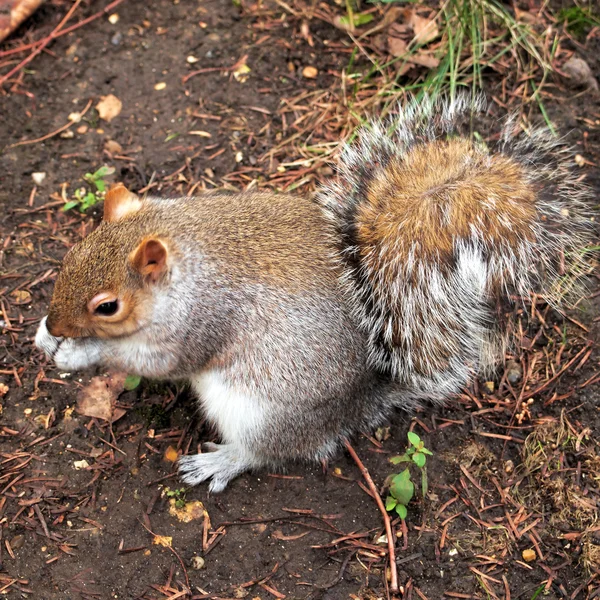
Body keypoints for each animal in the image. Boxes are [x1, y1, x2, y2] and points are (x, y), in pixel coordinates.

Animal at [35, 96, 592, 492]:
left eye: (107, 307)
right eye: (68, 259)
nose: (56, 326)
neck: (185, 252)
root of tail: (354, 404)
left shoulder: (202, 320)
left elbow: (157, 361)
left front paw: (81, 352)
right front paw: (45, 337)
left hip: (259, 410)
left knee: (270, 450)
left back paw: (225, 459)